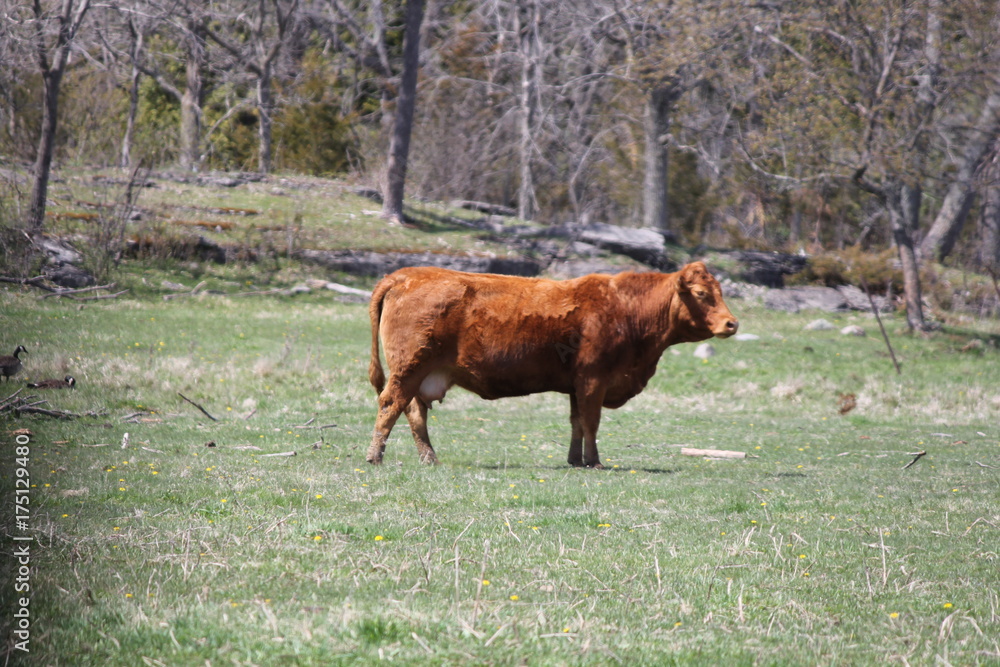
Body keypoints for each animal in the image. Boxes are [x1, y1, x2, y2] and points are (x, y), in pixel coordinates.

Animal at [366, 261, 738, 468]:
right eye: (702, 294)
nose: (731, 324)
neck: (626, 309)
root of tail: (405, 275)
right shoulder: (593, 380)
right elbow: (591, 422)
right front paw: (594, 461)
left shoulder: (577, 385)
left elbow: (577, 423)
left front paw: (575, 460)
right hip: (408, 371)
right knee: (390, 405)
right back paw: (375, 456)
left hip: (420, 376)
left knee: (413, 414)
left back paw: (429, 458)